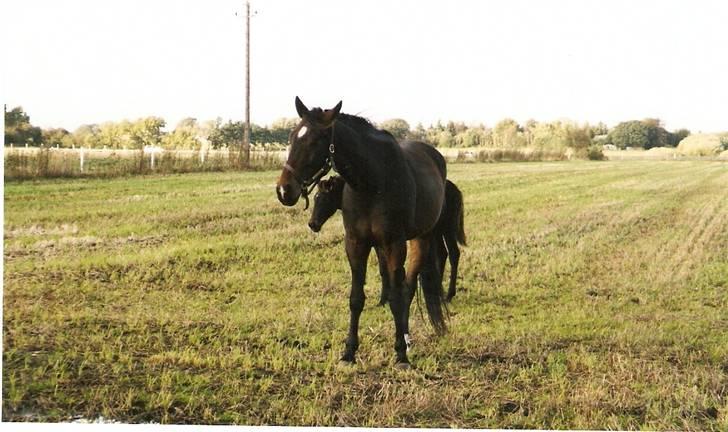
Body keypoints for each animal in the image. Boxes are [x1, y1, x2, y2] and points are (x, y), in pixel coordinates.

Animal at [278, 97, 450, 364]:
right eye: (292, 136)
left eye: (316, 141)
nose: (284, 190)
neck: (372, 183)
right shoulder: (356, 244)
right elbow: (356, 298)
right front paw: (349, 351)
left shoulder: (393, 244)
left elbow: (396, 297)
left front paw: (400, 353)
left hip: (421, 239)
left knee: (408, 288)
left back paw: (407, 339)